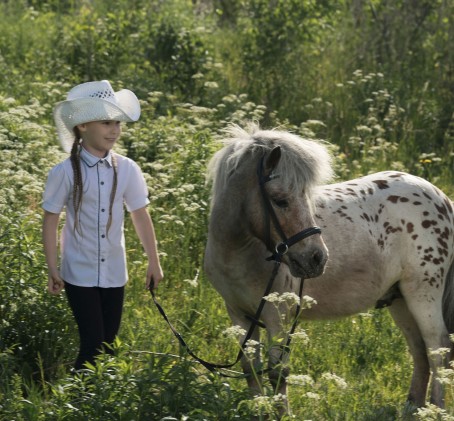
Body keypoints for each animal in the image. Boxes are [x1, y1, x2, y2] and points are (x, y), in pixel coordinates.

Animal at [204, 121, 454, 414]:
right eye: (280, 200)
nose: (317, 258)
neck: (240, 252)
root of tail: (439, 197)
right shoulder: (238, 315)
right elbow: (250, 369)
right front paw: (259, 411)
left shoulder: (278, 317)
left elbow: (277, 374)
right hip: (400, 300)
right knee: (420, 351)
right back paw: (413, 409)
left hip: (422, 295)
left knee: (437, 348)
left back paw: (436, 411)